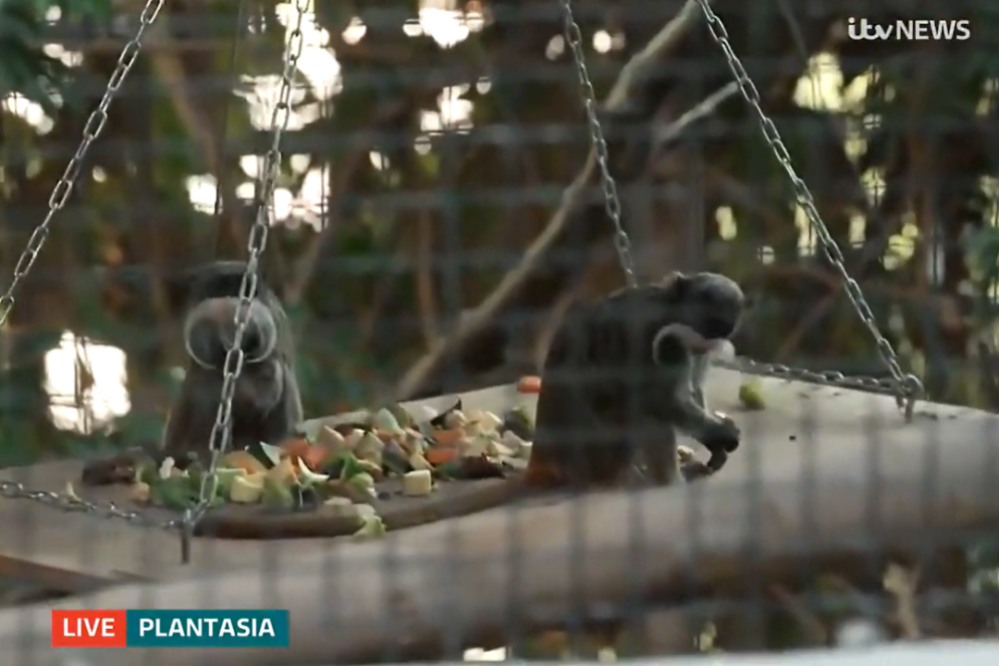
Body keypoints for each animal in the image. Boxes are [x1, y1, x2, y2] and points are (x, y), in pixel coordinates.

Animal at [522, 271, 743, 492]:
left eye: (711, 336)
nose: (701, 345)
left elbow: (691, 390)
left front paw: (716, 446)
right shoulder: (655, 333)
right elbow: (664, 399)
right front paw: (723, 435)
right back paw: (669, 480)